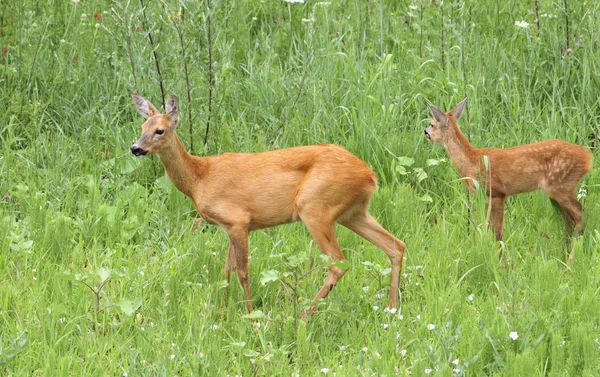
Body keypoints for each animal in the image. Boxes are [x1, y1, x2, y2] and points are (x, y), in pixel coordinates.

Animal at [129, 92, 406, 312]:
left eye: (159, 130)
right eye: (141, 127)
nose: (135, 148)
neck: (200, 178)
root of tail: (370, 176)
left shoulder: (238, 220)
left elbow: (242, 271)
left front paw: (250, 316)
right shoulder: (228, 226)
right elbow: (226, 269)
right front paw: (222, 310)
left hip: (315, 208)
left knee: (338, 263)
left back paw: (304, 315)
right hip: (353, 212)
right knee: (396, 245)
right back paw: (392, 308)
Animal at [424, 97, 592, 262]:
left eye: (432, 124)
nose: (425, 132)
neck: (471, 161)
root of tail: (587, 157)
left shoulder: (497, 191)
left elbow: (498, 231)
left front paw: (501, 262)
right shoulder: (486, 197)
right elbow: (487, 227)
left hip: (560, 184)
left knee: (580, 213)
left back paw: (570, 259)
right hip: (558, 190)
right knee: (570, 218)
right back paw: (562, 254)